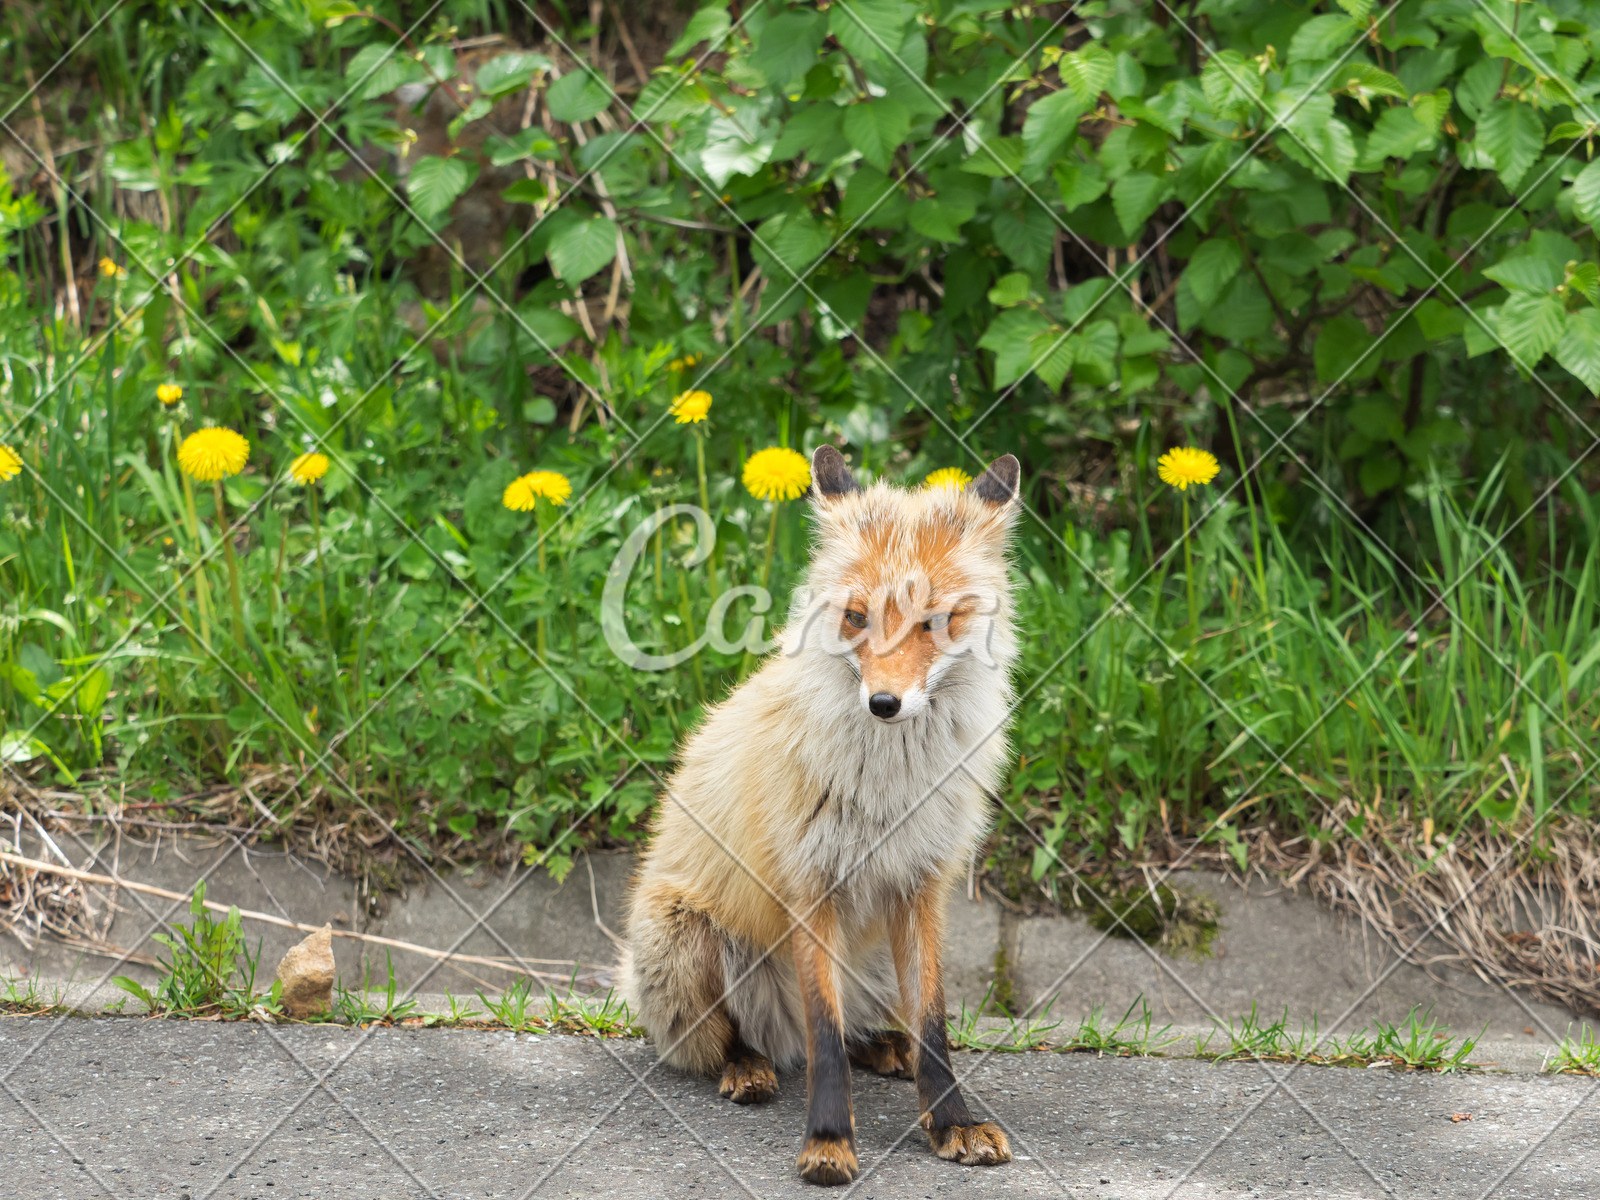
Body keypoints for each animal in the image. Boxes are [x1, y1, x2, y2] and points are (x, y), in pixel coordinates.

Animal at [624, 448, 1024, 1190]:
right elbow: (825, 1035)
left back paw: (885, 1049)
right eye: (858, 617)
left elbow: (934, 1025)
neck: (891, 789)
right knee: (739, 1040)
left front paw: (949, 1122)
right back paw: (748, 1067)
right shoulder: (811, 883)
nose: (884, 703)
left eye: (935, 622)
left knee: (866, 1030)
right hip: (685, 938)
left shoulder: (921, 883)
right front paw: (830, 1141)